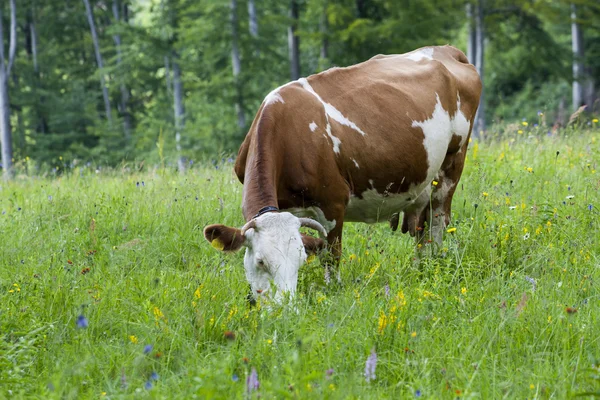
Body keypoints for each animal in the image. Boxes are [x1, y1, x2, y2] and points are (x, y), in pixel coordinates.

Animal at [206, 45, 482, 302]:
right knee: (422, 231)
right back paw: (421, 268)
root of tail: (446, 50)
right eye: (261, 261)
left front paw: (331, 291)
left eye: (300, 260)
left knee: (438, 219)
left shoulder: (333, 203)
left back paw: (435, 265)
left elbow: (331, 256)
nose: (286, 308)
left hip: (452, 163)